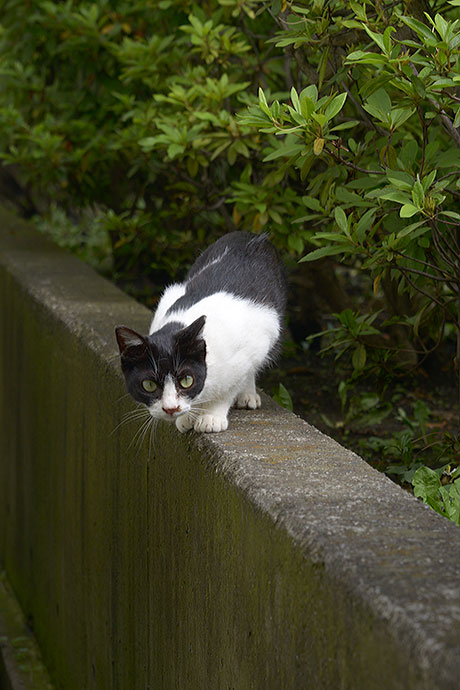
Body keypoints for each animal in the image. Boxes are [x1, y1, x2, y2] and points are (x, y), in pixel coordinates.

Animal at [114, 230, 286, 430]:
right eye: (148, 385)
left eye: (186, 380)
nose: (171, 409)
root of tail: (251, 235)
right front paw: (187, 418)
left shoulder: (252, 344)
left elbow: (230, 387)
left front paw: (211, 417)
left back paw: (247, 395)